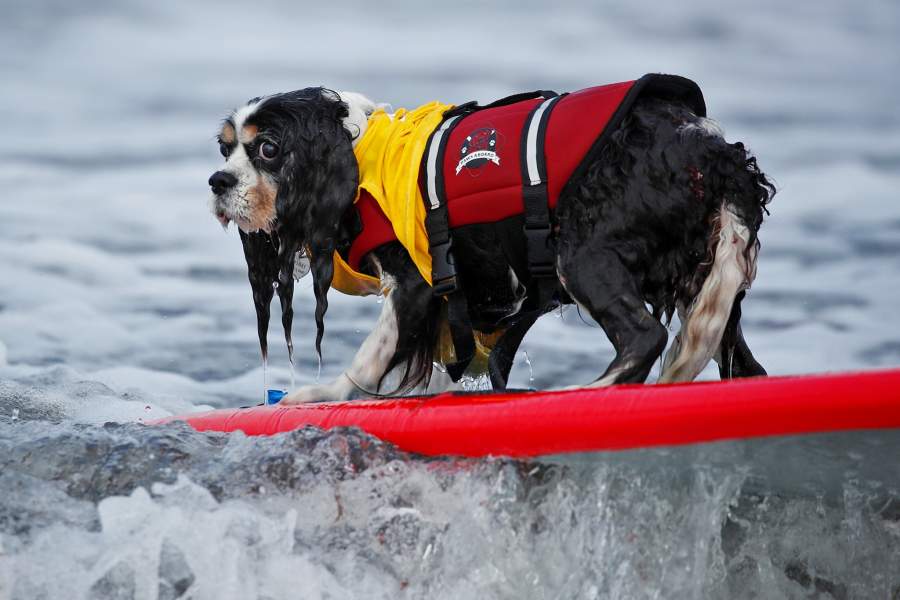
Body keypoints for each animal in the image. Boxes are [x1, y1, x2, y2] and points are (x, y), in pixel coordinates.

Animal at [209, 74, 772, 404]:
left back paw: (584, 389)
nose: (218, 182)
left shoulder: (416, 282)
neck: (356, 154)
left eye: (269, 149)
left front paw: (321, 393)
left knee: (644, 336)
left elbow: (370, 357)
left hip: (583, 251)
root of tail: (711, 151)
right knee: (745, 365)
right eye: (225, 148)